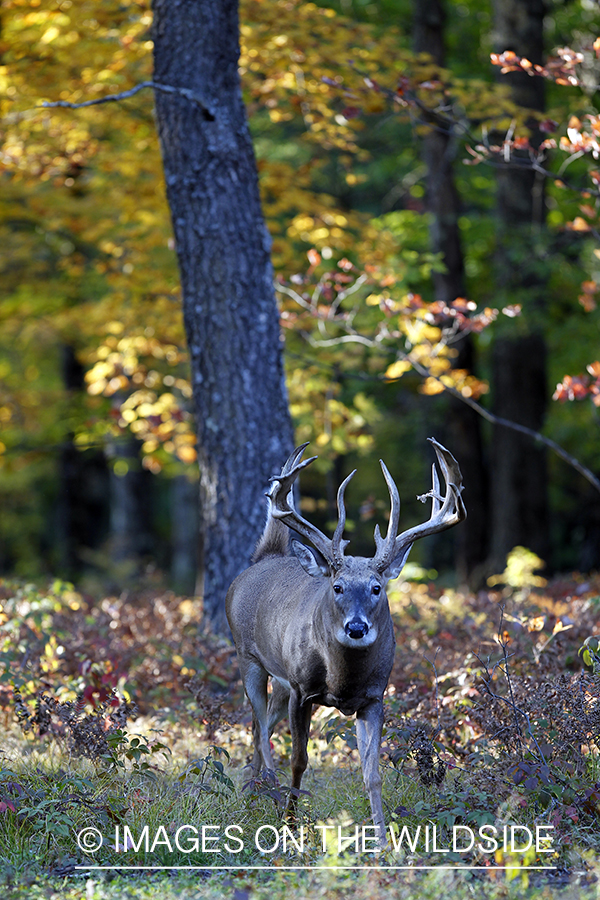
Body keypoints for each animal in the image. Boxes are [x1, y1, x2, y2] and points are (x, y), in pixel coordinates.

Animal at [225, 440, 464, 848]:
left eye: (376, 587)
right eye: (337, 587)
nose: (356, 628)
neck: (343, 680)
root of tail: (263, 558)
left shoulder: (374, 697)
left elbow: (372, 772)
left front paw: (383, 842)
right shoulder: (302, 689)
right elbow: (299, 760)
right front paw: (290, 827)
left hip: (280, 682)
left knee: (260, 727)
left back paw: (249, 794)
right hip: (249, 658)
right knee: (260, 728)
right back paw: (267, 796)